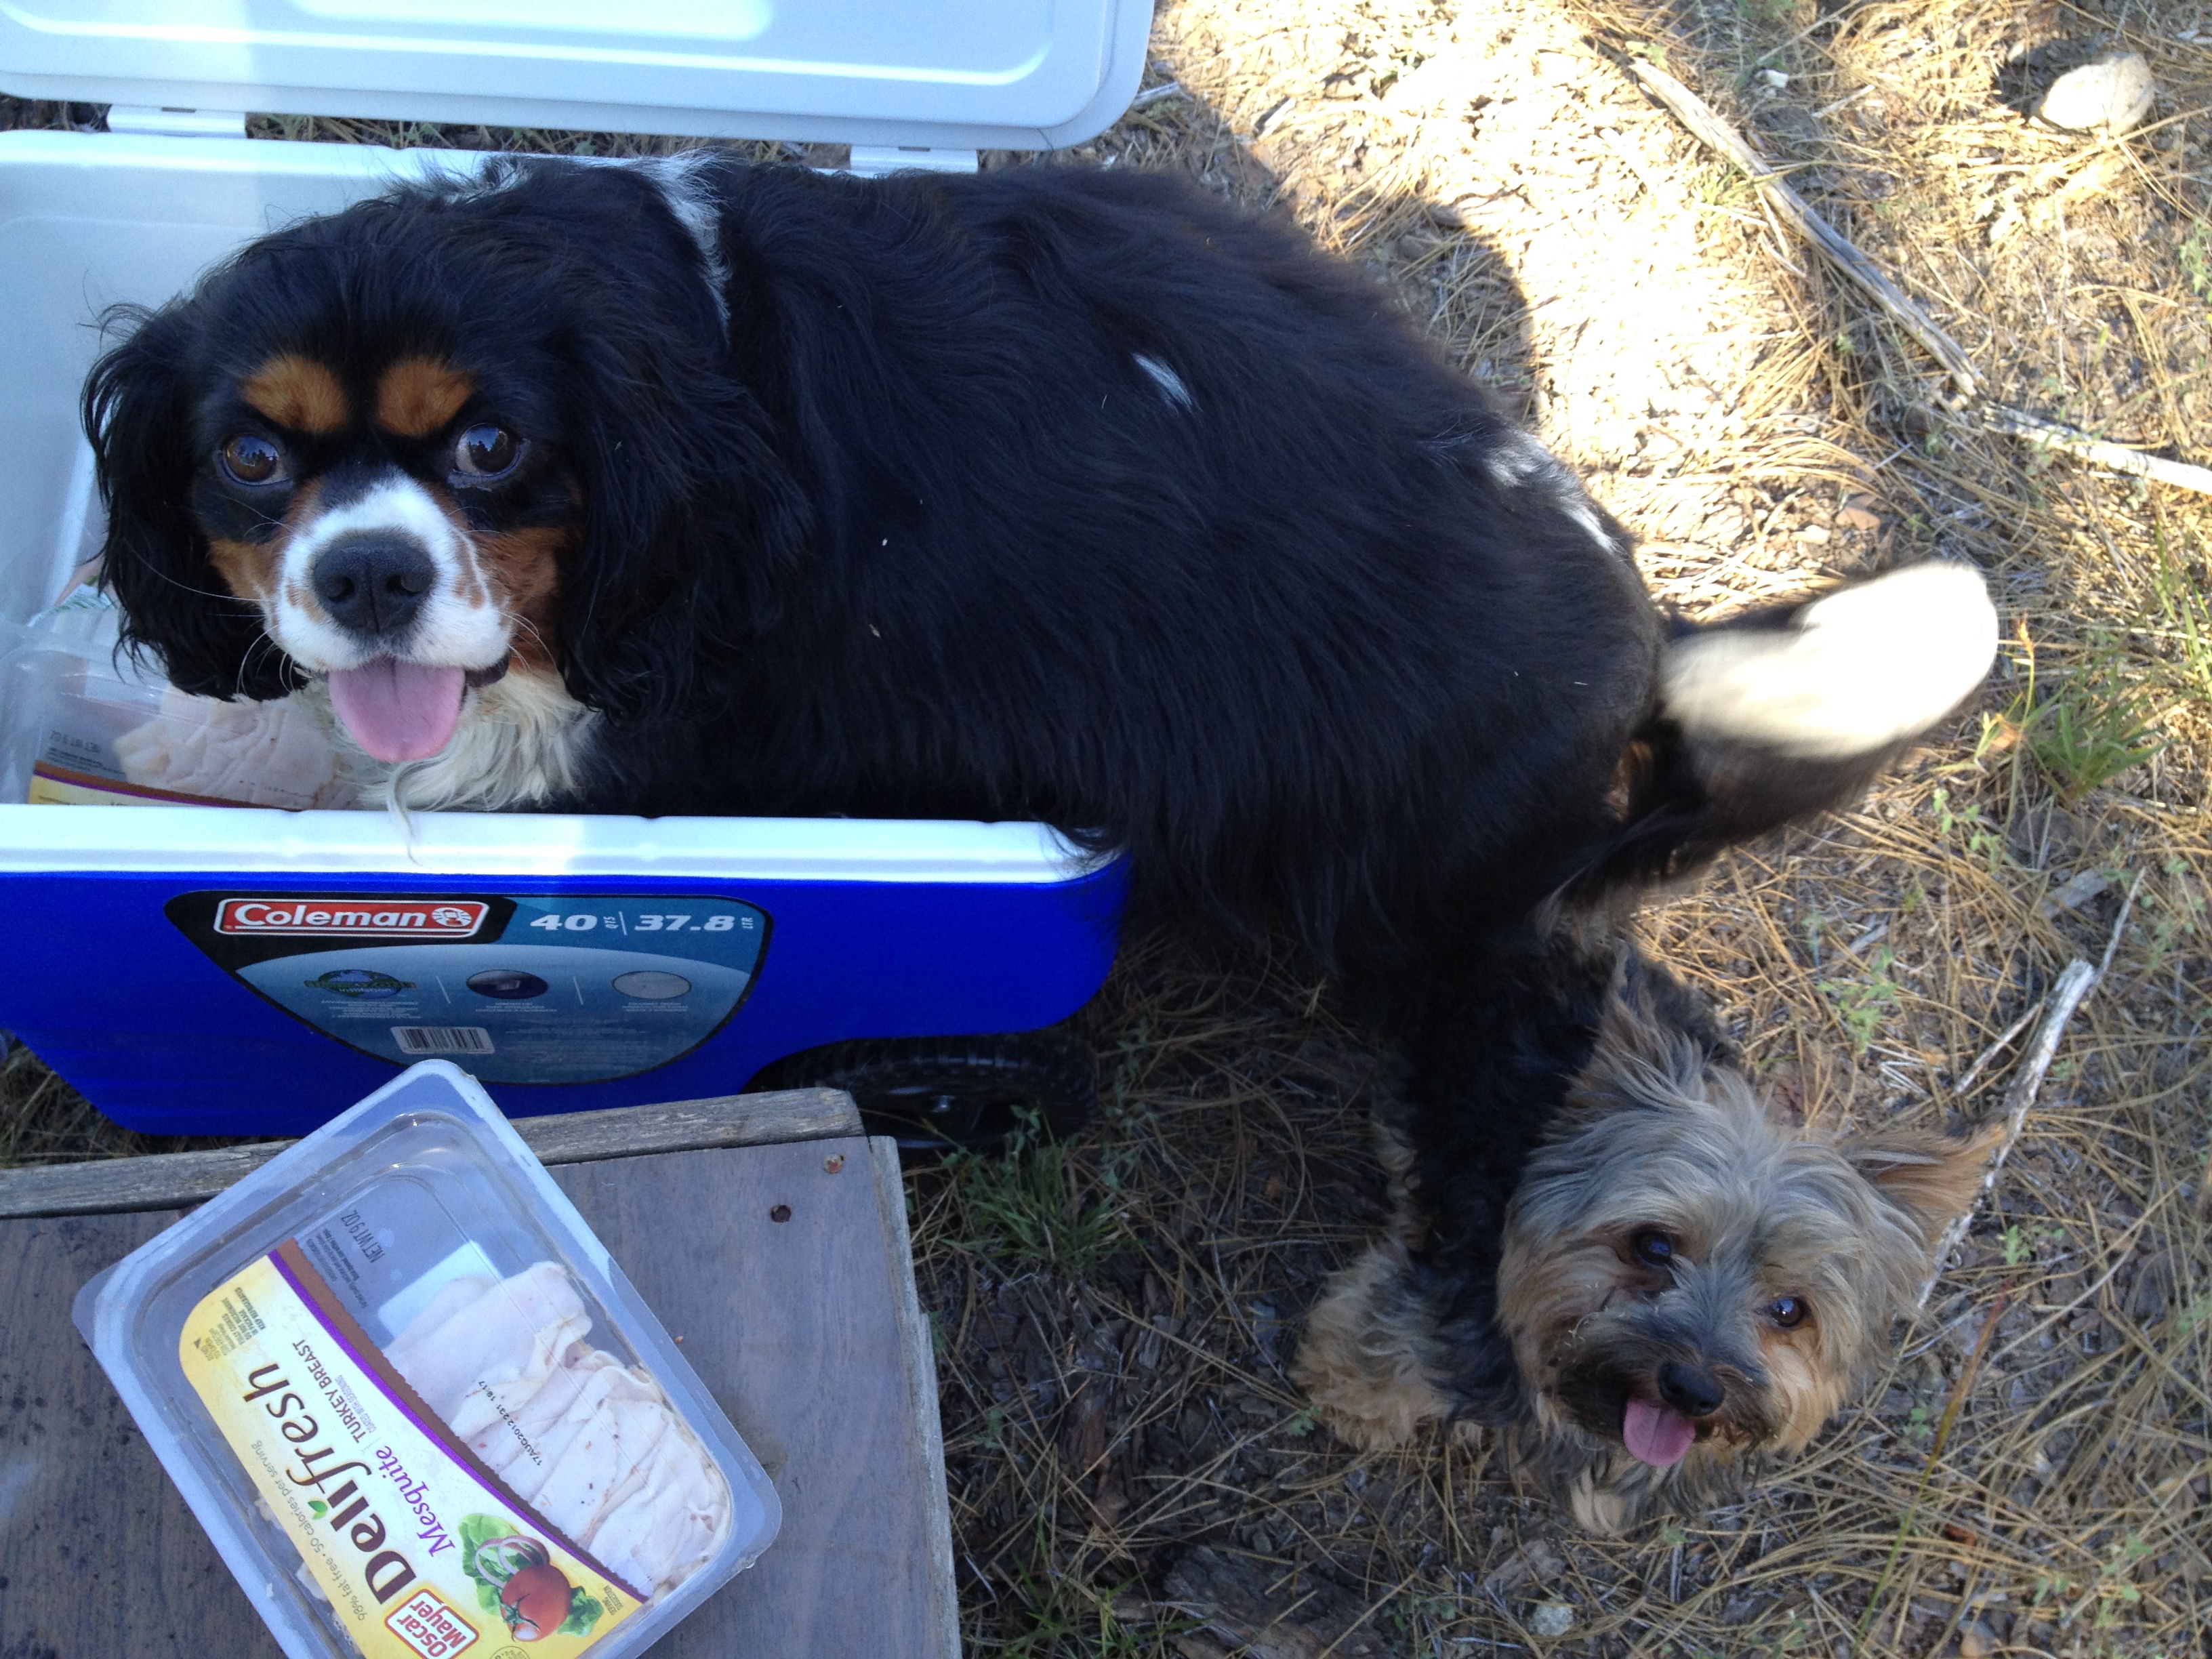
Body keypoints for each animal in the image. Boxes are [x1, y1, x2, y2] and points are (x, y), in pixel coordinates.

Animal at [83, 153, 2001, 1520]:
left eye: (491, 445)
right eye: (249, 460)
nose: (367, 575)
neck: (678, 370)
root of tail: (1644, 636)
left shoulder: (669, 715)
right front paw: (199, 718)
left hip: (1474, 927)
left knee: (1493, 1157)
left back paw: (1408, 1354)